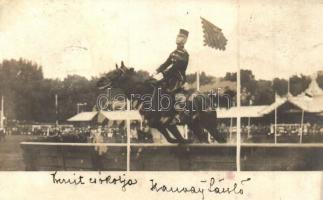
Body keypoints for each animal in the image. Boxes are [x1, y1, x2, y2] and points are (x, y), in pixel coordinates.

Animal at [97, 61, 227, 144]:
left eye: (115, 72)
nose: (100, 81)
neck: (145, 93)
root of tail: (207, 98)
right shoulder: (160, 124)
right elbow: (171, 137)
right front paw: (183, 140)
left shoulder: (164, 122)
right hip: (194, 124)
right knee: (204, 137)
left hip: (209, 124)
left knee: (220, 138)